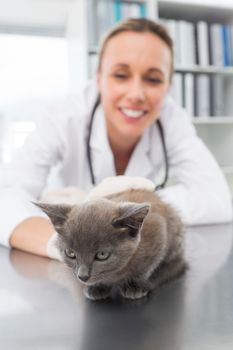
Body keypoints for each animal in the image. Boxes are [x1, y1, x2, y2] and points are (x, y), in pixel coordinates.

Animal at [35, 190, 187, 300]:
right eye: (70, 253)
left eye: (102, 255)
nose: (82, 276)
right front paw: (98, 287)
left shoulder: (159, 231)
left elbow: (148, 266)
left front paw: (135, 285)